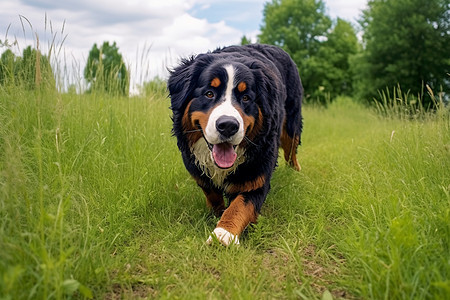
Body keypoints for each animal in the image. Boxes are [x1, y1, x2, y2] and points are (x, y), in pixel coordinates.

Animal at [168, 44, 302, 246]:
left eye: (246, 98)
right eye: (209, 94)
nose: (228, 125)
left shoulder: (256, 177)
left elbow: (238, 207)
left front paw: (223, 235)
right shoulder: (195, 167)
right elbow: (211, 192)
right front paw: (216, 213)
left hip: (291, 124)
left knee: (291, 151)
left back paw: (295, 171)